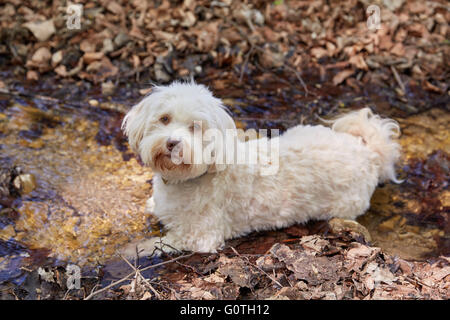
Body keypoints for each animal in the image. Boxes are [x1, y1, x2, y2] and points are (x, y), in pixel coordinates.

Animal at [120, 81, 400, 258]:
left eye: (195, 127)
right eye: (164, 118)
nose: (171, 143)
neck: (188, 179)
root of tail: (366, 151)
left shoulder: (199, 237)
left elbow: (157, 243)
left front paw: (129, 251)